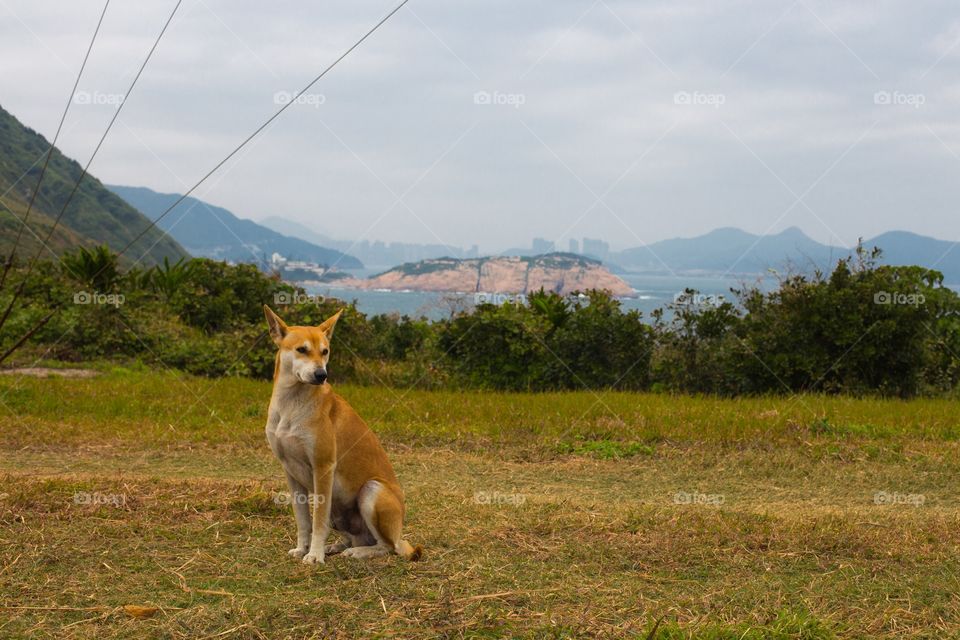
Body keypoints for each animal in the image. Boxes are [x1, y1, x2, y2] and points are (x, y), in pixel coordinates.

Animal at [262, 308, 420, 564]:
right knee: (354, 537)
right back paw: (337, 546)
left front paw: (314, 555)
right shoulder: (290, 472)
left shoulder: (323, 467)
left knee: (387, 546)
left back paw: (359, 552)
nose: (321, 374)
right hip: (340, 513)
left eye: (325, 351)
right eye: (301, 349)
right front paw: (303, 548)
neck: (292, 404)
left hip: (372, 490)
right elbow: (303, 520)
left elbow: (317, 521)